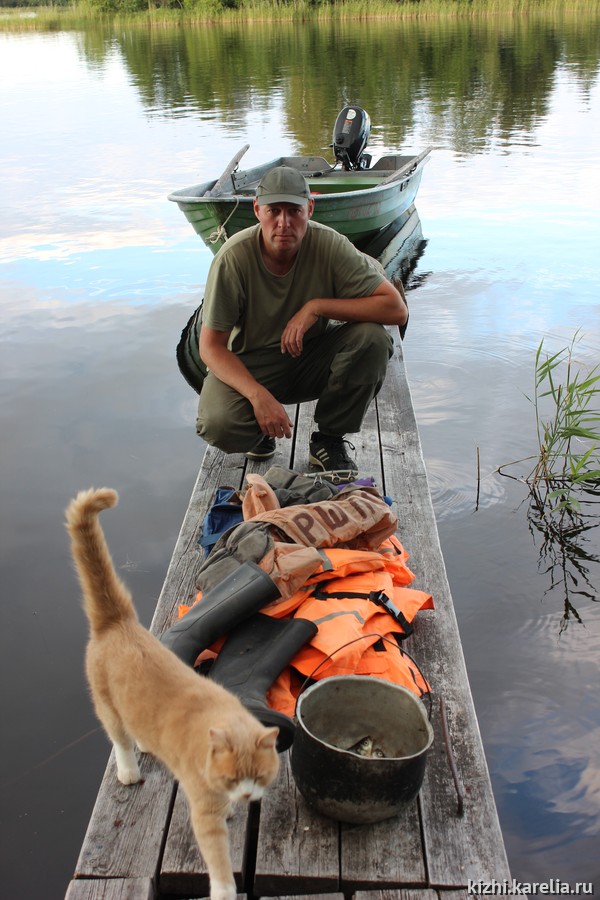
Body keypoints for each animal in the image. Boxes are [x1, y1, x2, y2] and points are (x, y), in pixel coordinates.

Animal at [65, 488, 278, 900]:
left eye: (260, 777)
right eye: (233, 779)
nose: (246, 797)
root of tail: (119, 623)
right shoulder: (203, 810)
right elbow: (218, 862)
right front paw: (225, 891)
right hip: (106, 704)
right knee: (119, 739)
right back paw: (129, 771)